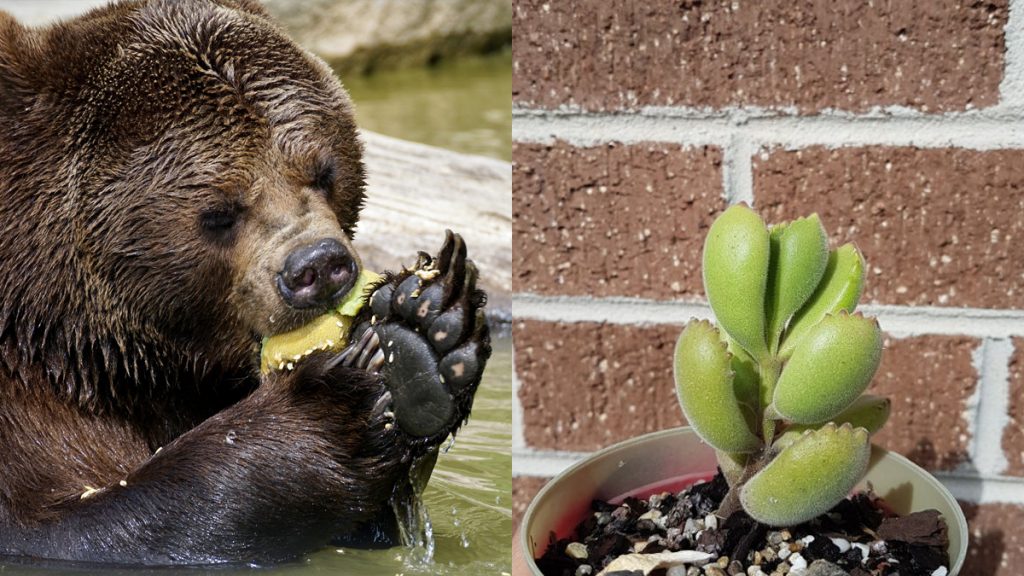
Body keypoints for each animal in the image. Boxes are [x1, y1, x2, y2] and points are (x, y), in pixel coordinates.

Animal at [0, 0, 491, 565]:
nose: (319, 266)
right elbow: (79, 523)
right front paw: (330, 405)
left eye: (324, 171)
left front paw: (428, 329)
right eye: (219, 211)